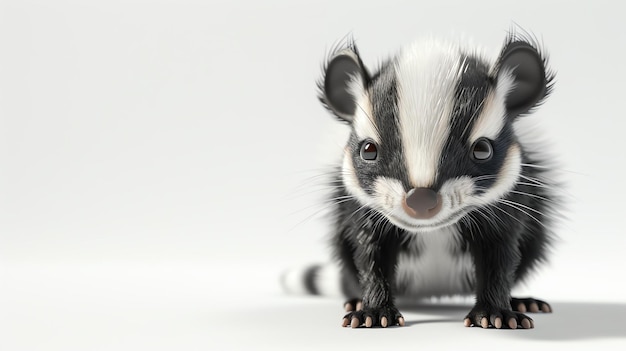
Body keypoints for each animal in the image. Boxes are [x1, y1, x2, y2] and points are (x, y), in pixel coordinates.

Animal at [288, 31, 556, 332]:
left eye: (482, 149)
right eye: (368, 150)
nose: (420, 198)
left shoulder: (510, 200)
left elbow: (499, 252)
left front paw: (495, 312)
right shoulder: (359, 207)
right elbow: (370, 252)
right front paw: (372, 311)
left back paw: (522, 301)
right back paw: (355, 301)